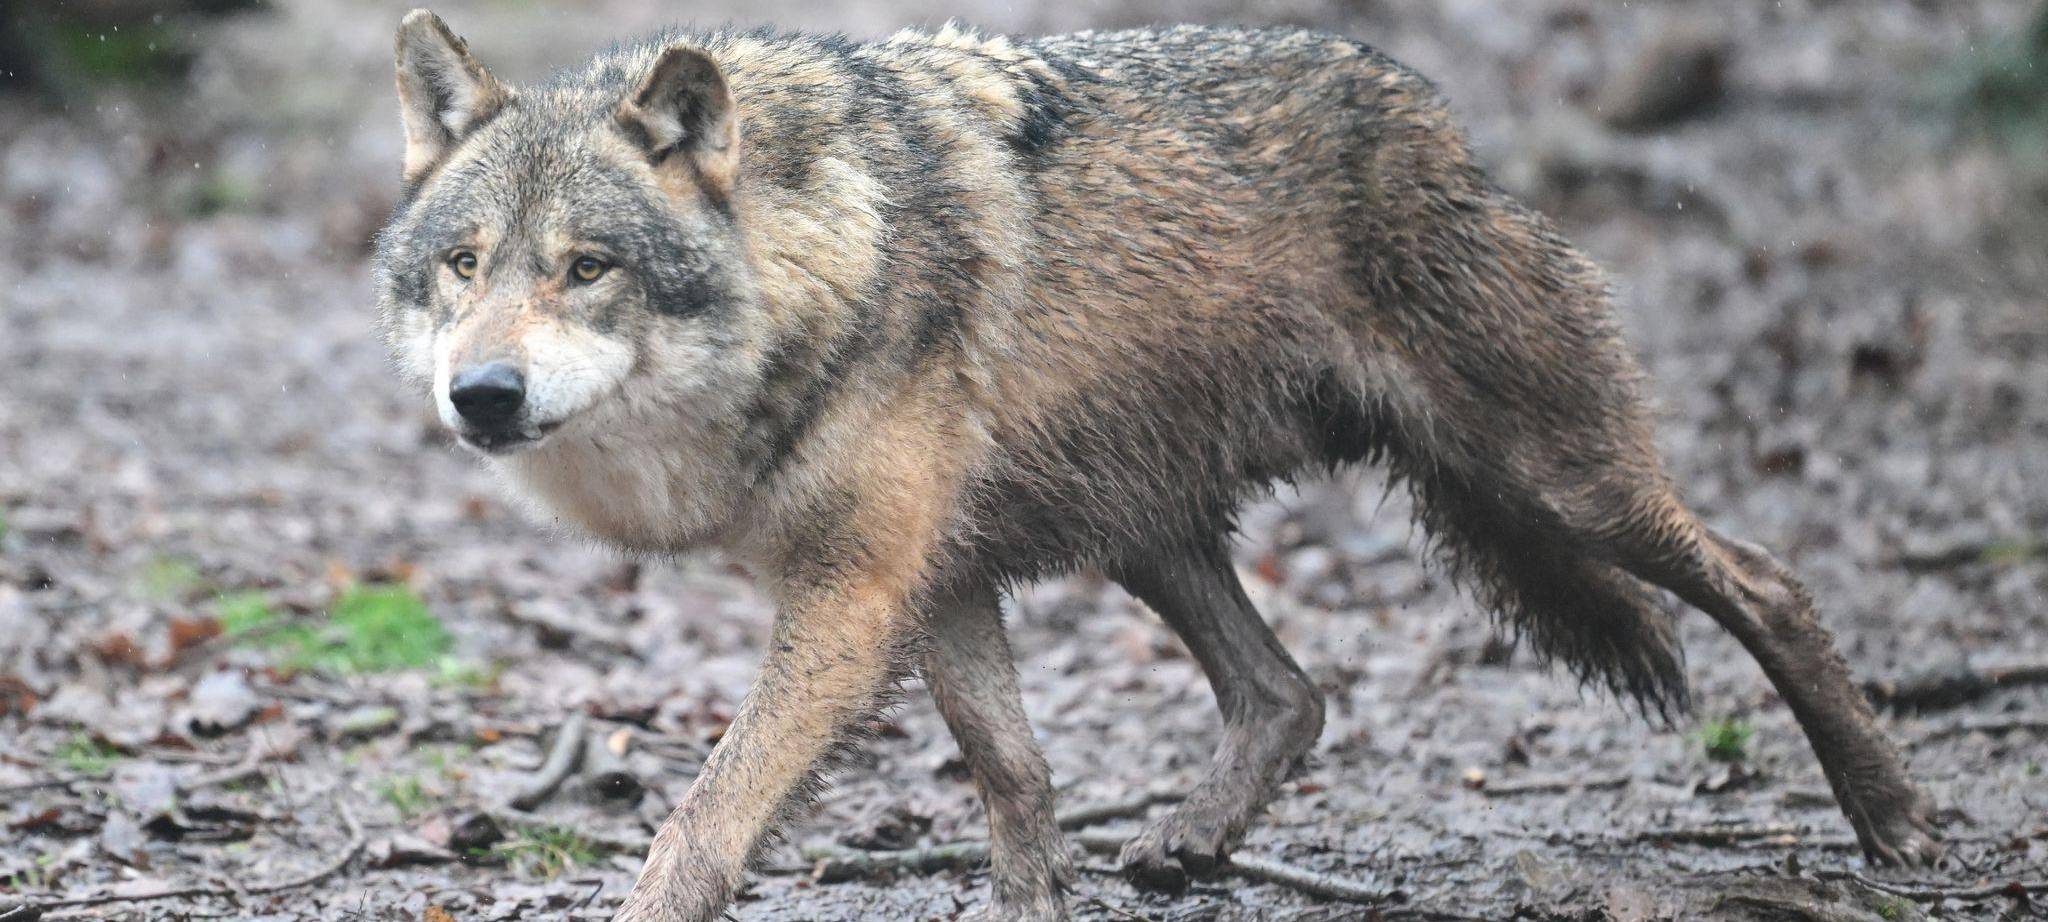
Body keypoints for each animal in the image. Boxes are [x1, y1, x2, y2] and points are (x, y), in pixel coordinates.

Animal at [374, 10, 1941, 920]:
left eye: (587, 267)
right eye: (464, 265)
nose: (482, 393)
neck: (819, 256)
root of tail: (1438, 121)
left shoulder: (855, 594)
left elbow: (701, 823)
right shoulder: (934, 581)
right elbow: (1015, 777)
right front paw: (1033, 904)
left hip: (1552, 479)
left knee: (1768, 581)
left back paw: (1895, 819)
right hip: (1142, 528)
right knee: (1291, 692)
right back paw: (1189, 841)